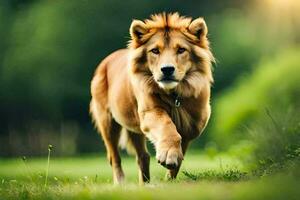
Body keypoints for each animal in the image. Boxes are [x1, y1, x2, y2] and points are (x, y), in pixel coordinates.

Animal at [90, 12, 214, 184]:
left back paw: (146, 184)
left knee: (143, 156)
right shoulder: (150, 112)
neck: (174, 93)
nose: (167, 69)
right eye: (155, 51)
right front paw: (168, 154)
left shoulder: (195, 122)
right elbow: (167, 126)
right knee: (114, 157)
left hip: (133, 127)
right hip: (107, 122)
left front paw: (170, 176)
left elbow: (181, 146)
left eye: (181, 50)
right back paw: (120, 183)